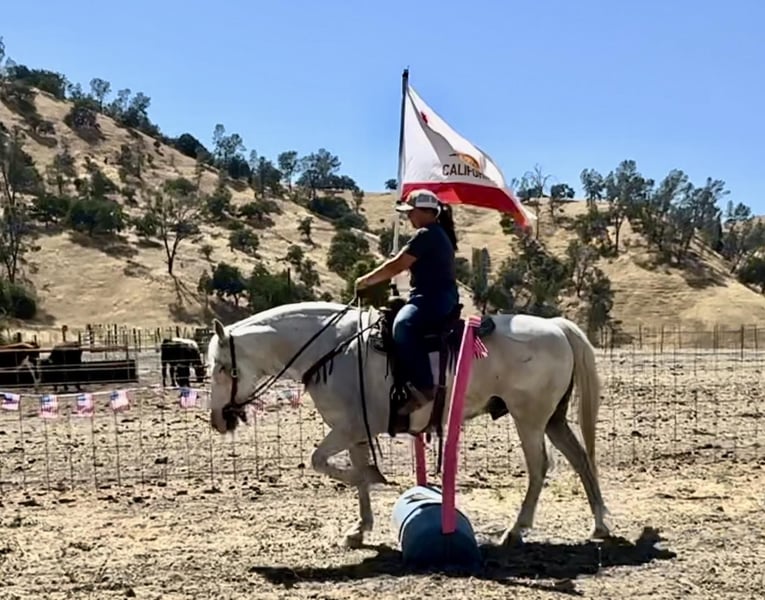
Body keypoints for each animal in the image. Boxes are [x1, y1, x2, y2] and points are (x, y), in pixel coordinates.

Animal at [205, 300, 610, 550]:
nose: (217, 420)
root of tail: (556, 327)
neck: (334, 350)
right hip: (553, 419)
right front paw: (360, 528)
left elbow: (321, 461)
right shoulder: (355, 433)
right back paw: (599, 525)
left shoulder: (347, 429)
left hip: (529, 419)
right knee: (581, 459)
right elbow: (354, 476)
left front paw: (374, 480)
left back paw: (515, 531)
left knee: (540, 467)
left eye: (223, 367)